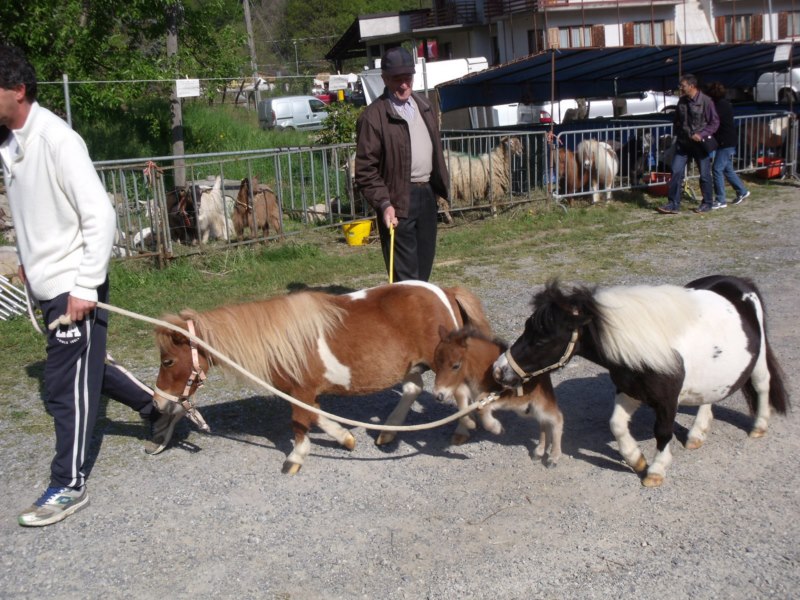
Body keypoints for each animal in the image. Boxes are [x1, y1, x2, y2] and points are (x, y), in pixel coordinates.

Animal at [152, 282, 490, 474]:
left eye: (168, 360)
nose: (158, 402)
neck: (281, 340)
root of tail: (446, 293)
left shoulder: (301, 391)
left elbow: (300, 421)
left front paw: (295, 458)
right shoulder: (303, 392)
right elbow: (315, 416)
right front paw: (346, 438)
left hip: (445, 362)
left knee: (461, 391)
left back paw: (462, 430)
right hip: (413, 365)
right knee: (412, 388)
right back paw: (388, 432)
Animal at [432, 326, 564, 466]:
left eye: (456, 366)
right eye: (435, 362)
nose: (438, 395)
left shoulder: (501, 395)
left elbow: (480, 405)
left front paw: (497, 428)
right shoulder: (465, 388)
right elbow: (461, 401)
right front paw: (471, 423)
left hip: (540, 404)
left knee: (557, 419)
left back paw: (553, 458)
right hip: (527, 410)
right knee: (544, 422)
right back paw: (539, 452)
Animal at [494, 276, 788, 488]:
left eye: (542, 338)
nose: (498, 370)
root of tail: (740, 282)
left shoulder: (666, 401)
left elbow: (663, 432)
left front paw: (655, 470)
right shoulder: (630, 390)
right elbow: (617, 424)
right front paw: (636, 459)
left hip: (758, 360)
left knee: (762, 384)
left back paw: (758, 426)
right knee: (710, 396)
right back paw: (696, 434)